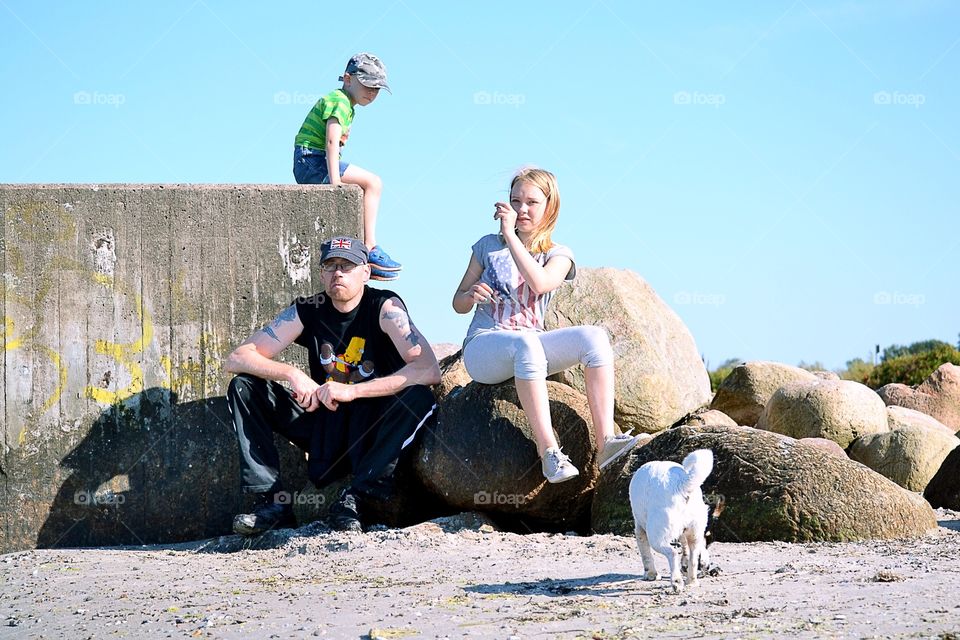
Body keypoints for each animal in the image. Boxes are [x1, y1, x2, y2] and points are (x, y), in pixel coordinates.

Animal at [632, 450, 712, 596]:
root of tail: (681, 484)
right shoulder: (684, 534)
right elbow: (688, 551)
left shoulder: (640, 530)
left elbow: (645, 554)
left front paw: (651, 574)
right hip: (695, 532)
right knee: (693, 557)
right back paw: (691, 581)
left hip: (656, 536)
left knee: (672, 553)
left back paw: (676, 582)